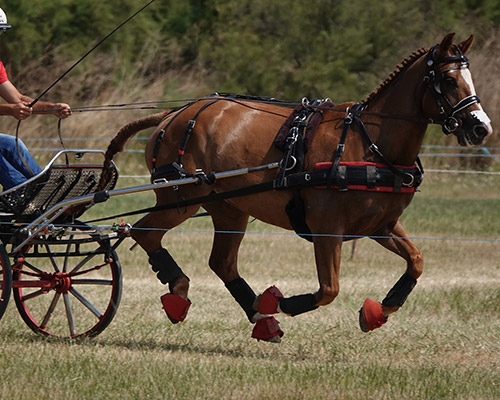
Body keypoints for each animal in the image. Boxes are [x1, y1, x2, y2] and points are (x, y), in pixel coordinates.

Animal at [98, 32, 492, 342]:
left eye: (470, 78)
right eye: (448, 79)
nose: (481, 128)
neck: (368, 142)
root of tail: (173, 114)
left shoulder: (381, 226)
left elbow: (417, 261)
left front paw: (380, 310)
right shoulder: (327, 230)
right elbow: (329, 289)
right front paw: (281, 301)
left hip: (229, 208)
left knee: (221, 262)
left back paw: (260, 317)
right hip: (182, 197)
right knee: (146, 233)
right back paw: (181, 292)